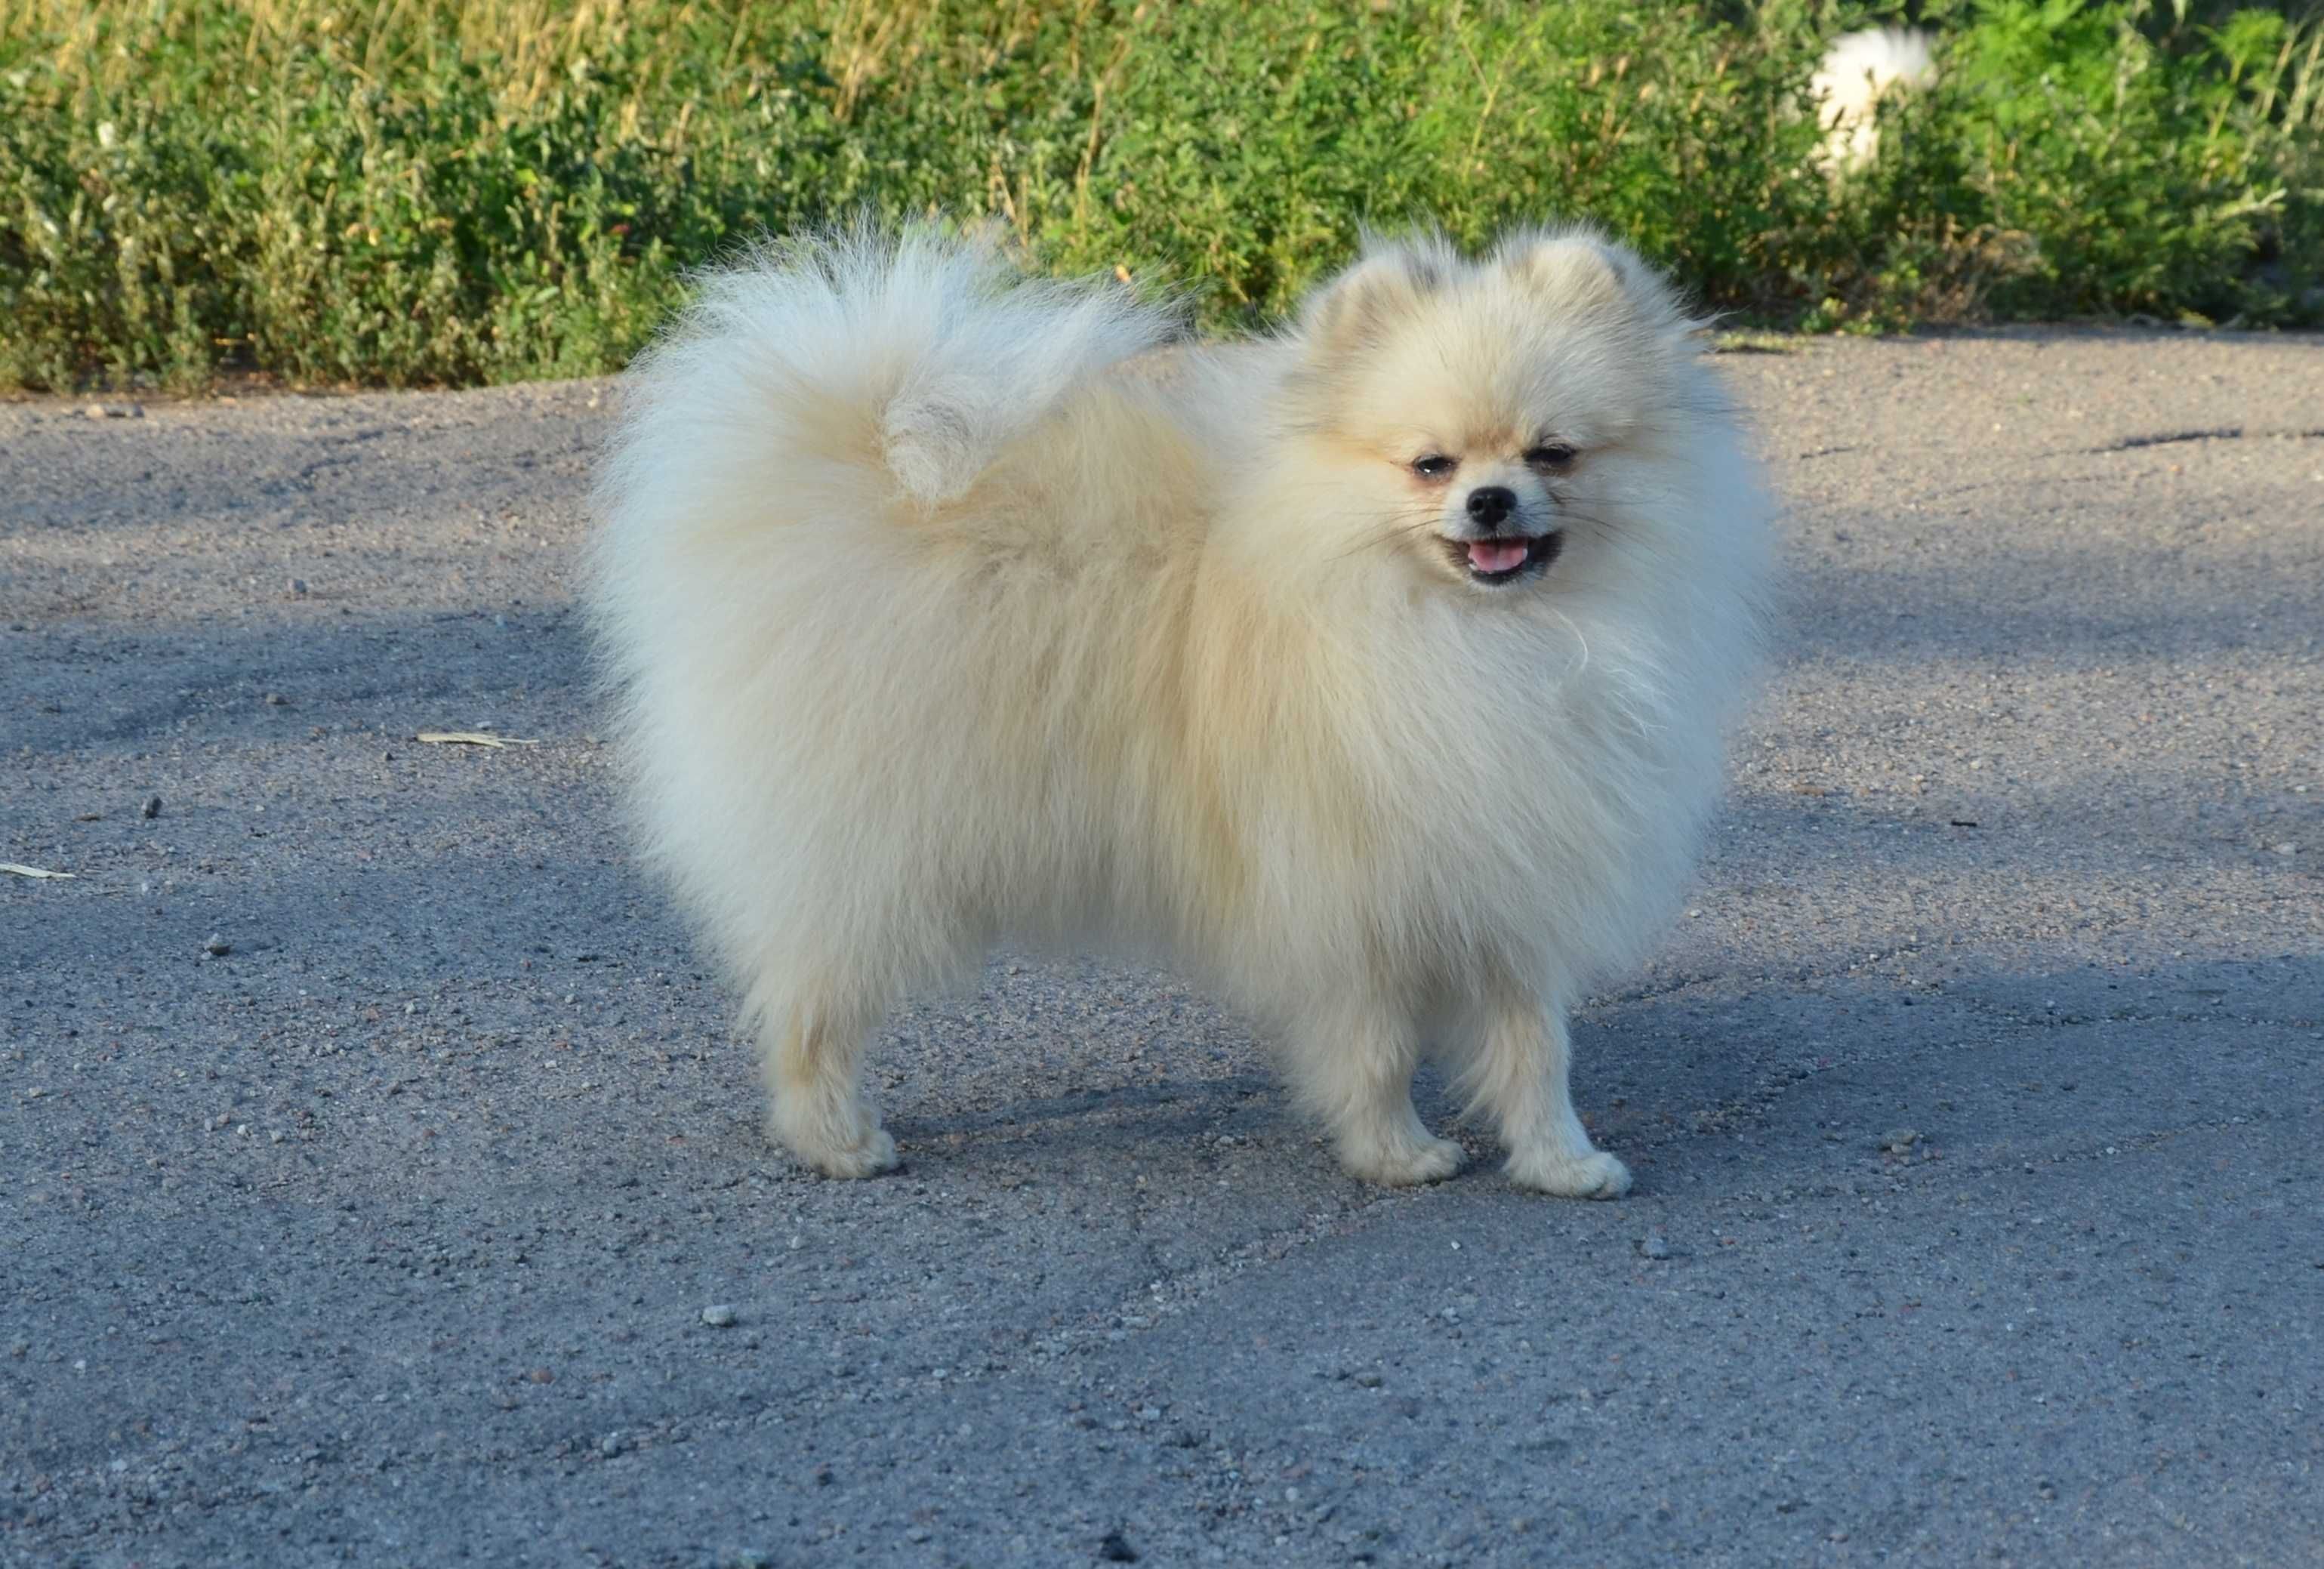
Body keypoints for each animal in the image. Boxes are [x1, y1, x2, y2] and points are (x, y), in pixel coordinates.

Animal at [590, 227, 1766, 1199]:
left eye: (1554, 453)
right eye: (1429, 464)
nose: (1489, 502)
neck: (1479, 639)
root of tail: (845, 479)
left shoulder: (1514, 866)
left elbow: (1536, 1045)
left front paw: (1561, 1161)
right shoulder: (1343, 884)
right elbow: (1377, 1045)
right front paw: (1397, 1154)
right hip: (875, 849)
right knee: (808, 1005)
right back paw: (835, 1136)